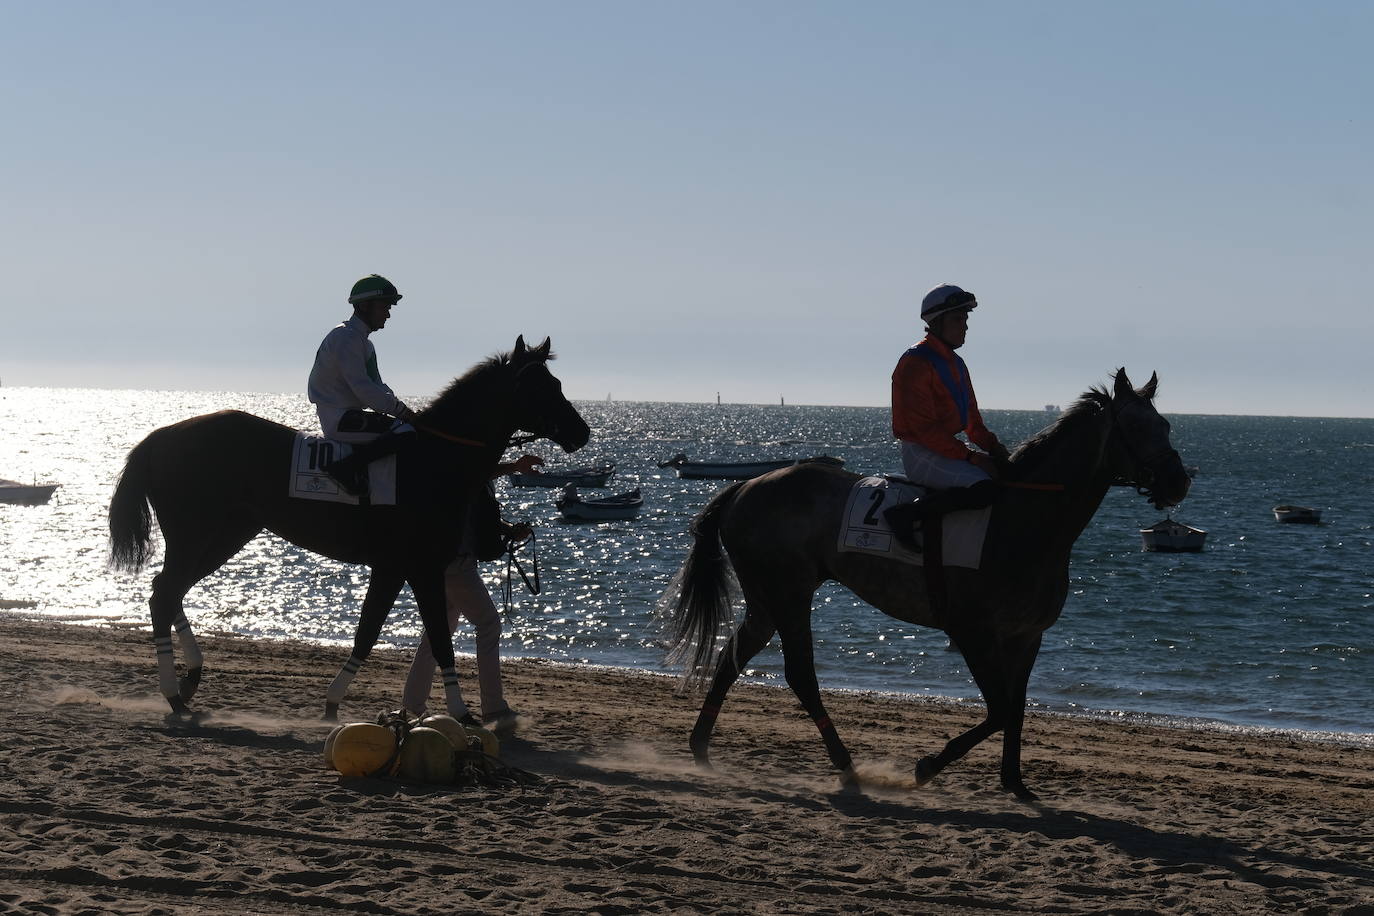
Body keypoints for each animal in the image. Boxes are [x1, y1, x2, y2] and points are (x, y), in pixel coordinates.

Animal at [109, 336, 590, 720]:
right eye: (543, 387)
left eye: (556, 384)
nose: (582, 432)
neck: (436, 460)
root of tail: (160, 436)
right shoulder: (423, 568)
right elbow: (438, 638)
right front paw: (461, 712)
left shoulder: (392, 568)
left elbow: (367, 633)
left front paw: (333, 702)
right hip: (198, 535)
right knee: (165, 593)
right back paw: (174, 693)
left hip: (226, 535)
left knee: (168, 590)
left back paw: (190, 678)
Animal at [663, 369, 1191, 799]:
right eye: (1137, 427)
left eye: (1166, 425)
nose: (1178, 481)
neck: (1024, 521)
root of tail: (745, 486)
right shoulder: (972, 632)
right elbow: (999, 709)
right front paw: (926, 767)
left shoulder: (1026, 636)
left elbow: (1017, 707)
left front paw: (1014, 781)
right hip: (789, 593)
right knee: (800, 675)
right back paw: (846, 765)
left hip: (768, 596)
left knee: (732, 657)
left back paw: (702, 749)